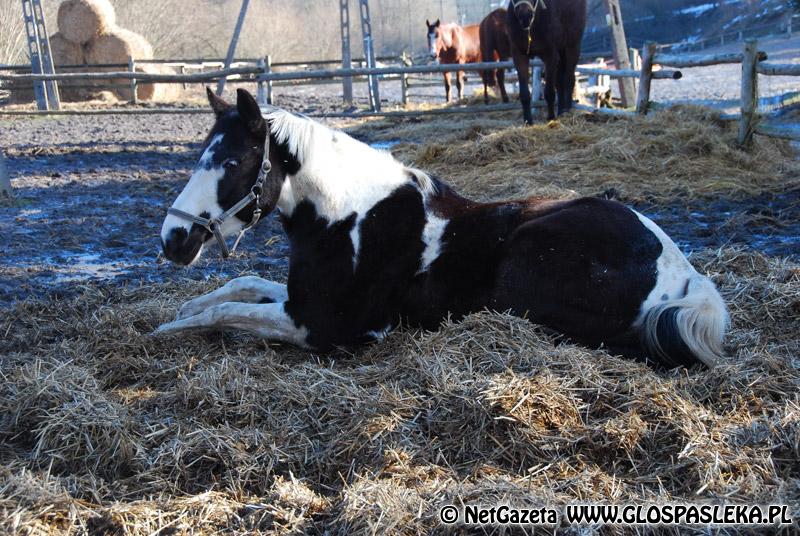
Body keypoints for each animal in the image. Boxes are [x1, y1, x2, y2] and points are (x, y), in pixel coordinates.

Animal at [158, 89, 732, 372]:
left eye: (233, 161)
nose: (173, 240)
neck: (349, 217)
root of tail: (681, 271)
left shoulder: (320, 325)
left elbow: (226, 313)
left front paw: (166, 330)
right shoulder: (300, 297)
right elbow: (239, 288)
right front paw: (183, 308)